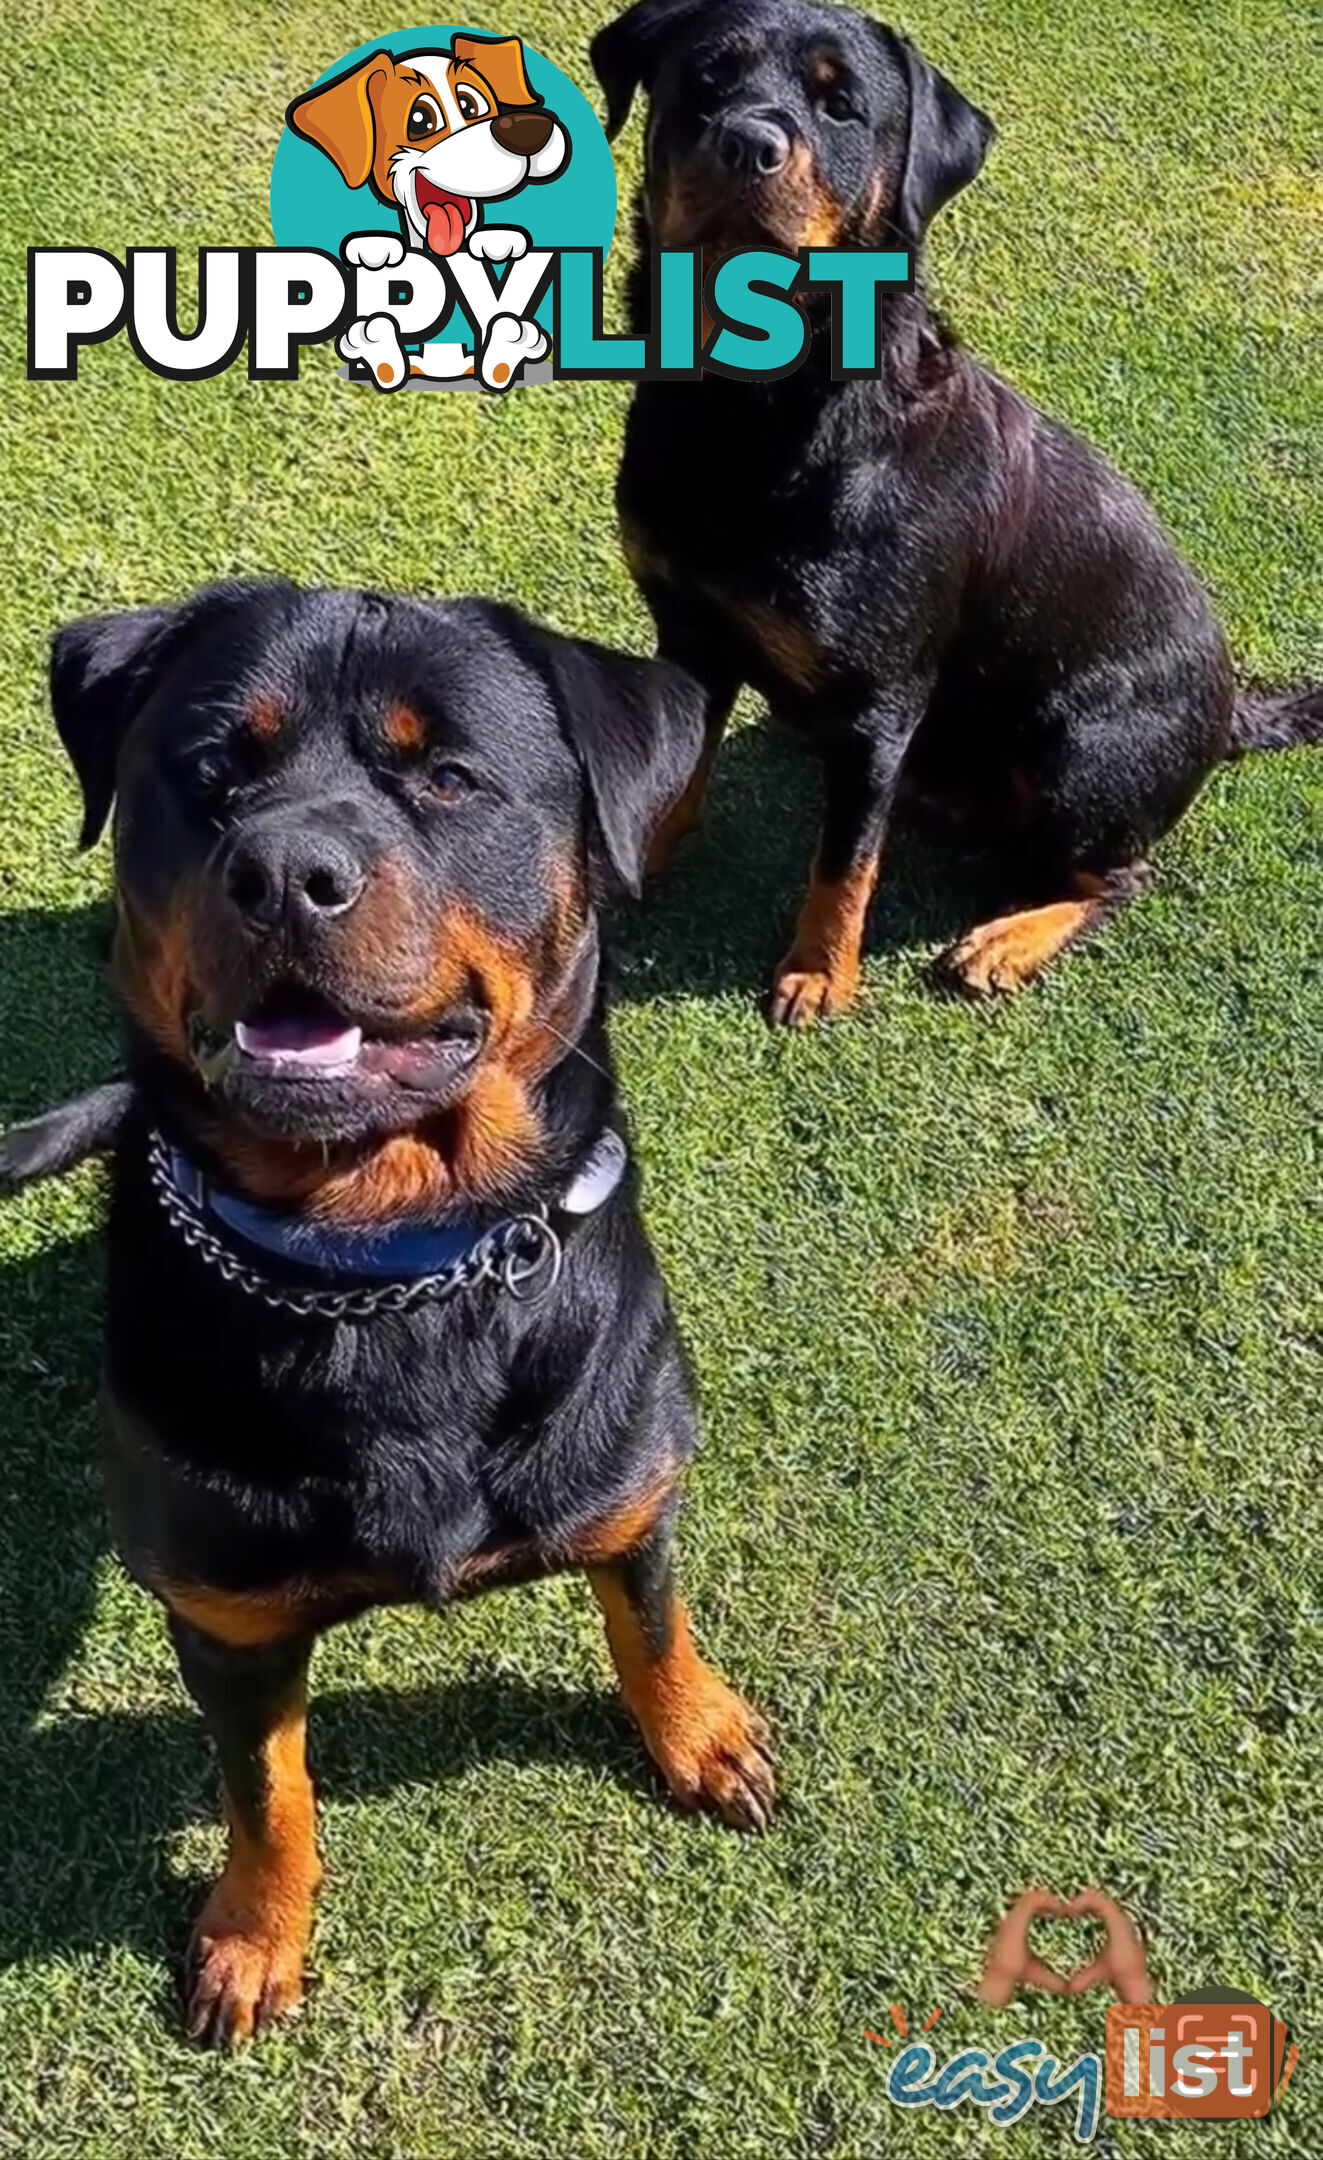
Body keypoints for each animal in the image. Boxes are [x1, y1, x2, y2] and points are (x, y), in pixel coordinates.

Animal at [46, 583, 773, 2047]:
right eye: (210, 769)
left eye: (445, 776)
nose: (283, 871)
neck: (384, 1265)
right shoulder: (226, 1621)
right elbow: (266, 1790)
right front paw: (254, 1936)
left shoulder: (633, 1485)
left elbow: (651, 1621)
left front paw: (699, 1731)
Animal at [592, 0, 1314, 1023]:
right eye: (705, 79)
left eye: (841, 105)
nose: (746, 142)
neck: (756, 416)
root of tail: (1230, 715)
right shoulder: (689, 629)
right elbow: (680, 768)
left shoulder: (882, 693)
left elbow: (843, 861)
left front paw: (819, 971)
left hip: (1078, 749)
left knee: (1112, 875)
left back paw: (1003, 939)